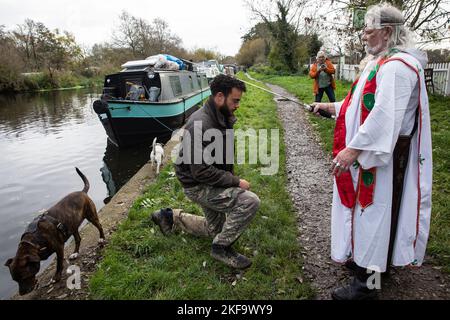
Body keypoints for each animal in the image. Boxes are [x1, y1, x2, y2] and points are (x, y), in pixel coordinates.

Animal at [4, 168, 104, 296]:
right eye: (15, 280)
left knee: (99, 226)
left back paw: (101, 238)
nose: (22, 293)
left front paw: (56, 278)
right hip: (72, 225)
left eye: (25, 277)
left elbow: (59, 264)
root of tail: (82, 192)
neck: (34, 242)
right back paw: (75, 253)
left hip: (91, 215)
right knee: (78, 238)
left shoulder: (59, 248)